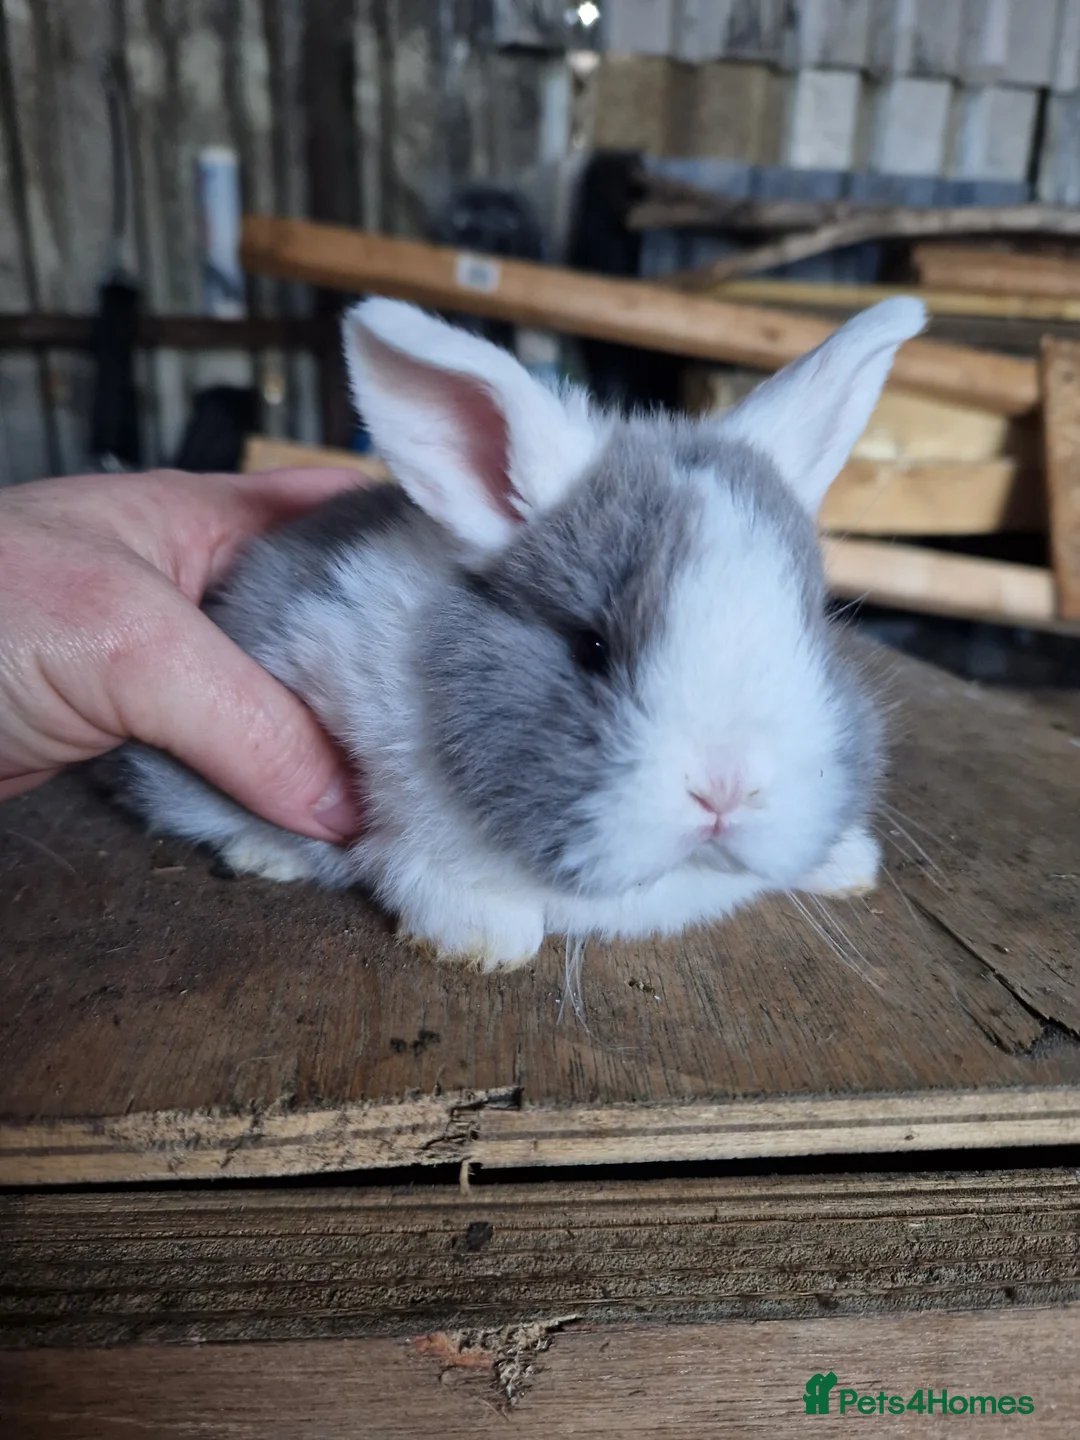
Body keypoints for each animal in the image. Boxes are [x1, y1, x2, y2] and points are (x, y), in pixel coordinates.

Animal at [114, 293, 926, 969]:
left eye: (809, 627)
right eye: (591, 647)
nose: (726, 789)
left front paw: (849, 864)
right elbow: (413, 870)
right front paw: (484, 937)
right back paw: (263, 854)